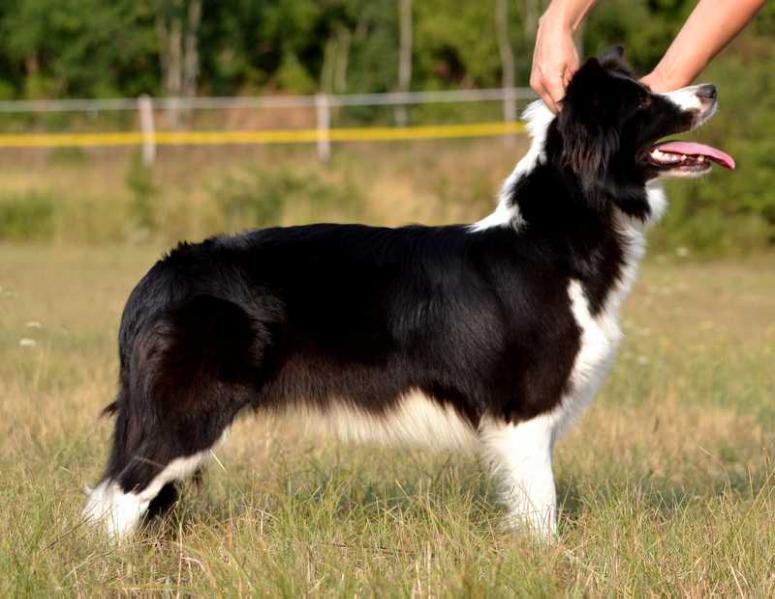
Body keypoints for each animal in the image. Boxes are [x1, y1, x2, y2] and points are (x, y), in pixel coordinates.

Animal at [83, 50, 732, 540]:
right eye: (643, 102)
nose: (710, 87)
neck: (558, 234)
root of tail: (160, 273)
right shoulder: (524, 410)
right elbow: (541, 508)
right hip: (190, 408)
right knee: (117, 498)